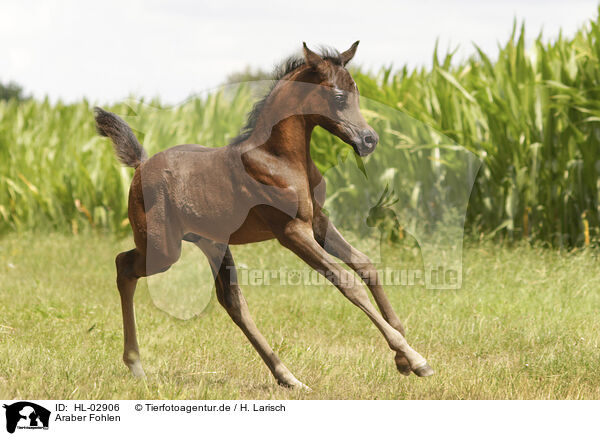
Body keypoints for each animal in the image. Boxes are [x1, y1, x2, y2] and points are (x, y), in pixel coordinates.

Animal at [95, 41, 432, 388]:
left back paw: (288, 377)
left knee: (233, 303)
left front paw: (403, 357)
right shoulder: (291, 231)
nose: (369, 140)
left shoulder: (319, 221)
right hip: (165, 249)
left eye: (357, 93)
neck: (279, 158)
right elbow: (346, 281)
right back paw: (135, 363)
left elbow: (365, 265)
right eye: (339, 97)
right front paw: (414, 358)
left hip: (212, 243)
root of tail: (140, 164)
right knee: (124, 266)